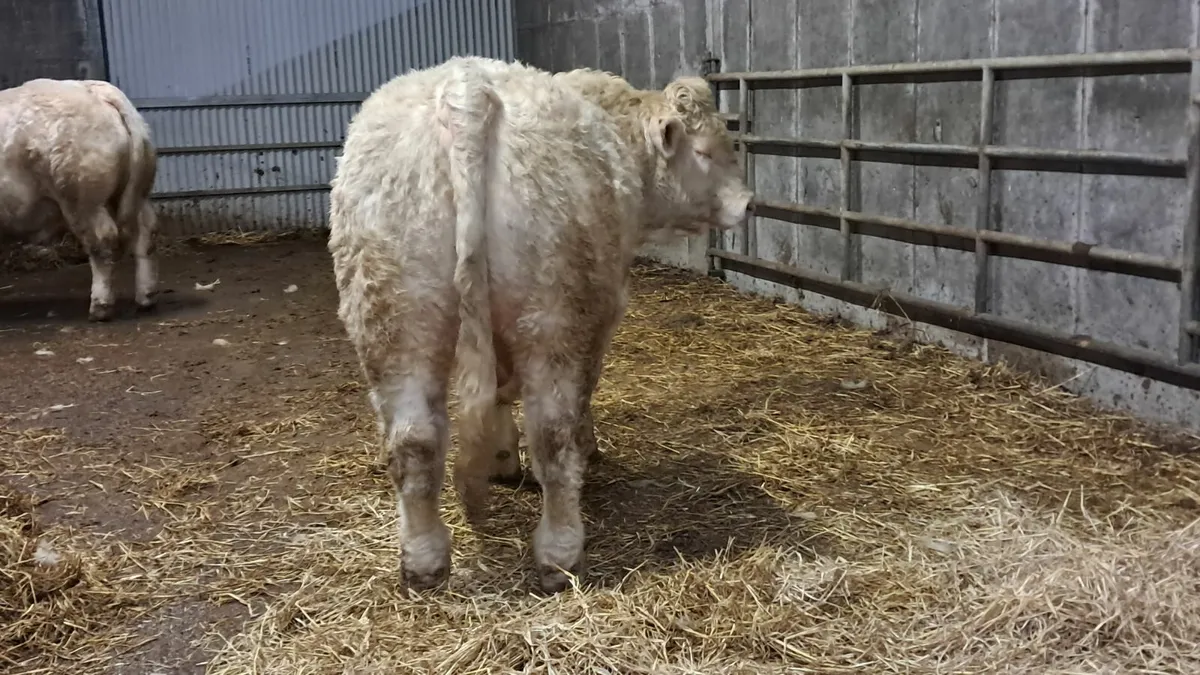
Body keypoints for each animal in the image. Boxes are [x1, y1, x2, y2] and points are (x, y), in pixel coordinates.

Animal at [0, 78, 159, 321]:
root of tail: (97, 91)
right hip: (137, 193)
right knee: (144, 233)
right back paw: (145, 297)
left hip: (83, 200)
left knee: (102, 242)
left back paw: (100, 306)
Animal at [327, 56, 752, 594]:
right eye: (704, 151)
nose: (747, 202)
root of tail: (465, 89)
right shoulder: (602, 313)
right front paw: (581, 451)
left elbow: (497, 396)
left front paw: (502, 459)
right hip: (554, 312)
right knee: (553, 433)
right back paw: (560, 552)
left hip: (396, 315)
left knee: (414, 439)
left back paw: (424, 560)